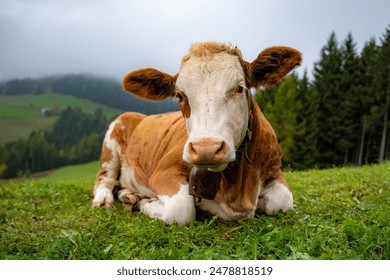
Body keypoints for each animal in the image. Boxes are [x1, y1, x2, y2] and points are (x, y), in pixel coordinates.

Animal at [91, 41, 302, 225]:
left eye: (239, 88)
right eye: (180, 96)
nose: (206, 149)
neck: (239, 192)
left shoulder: (274, 169)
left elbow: (282, 201)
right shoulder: (163, 171)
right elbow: (181, 209)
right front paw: (146, 201)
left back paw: (128, 194)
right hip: (112, 142)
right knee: (105, 177)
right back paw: (107, 199)